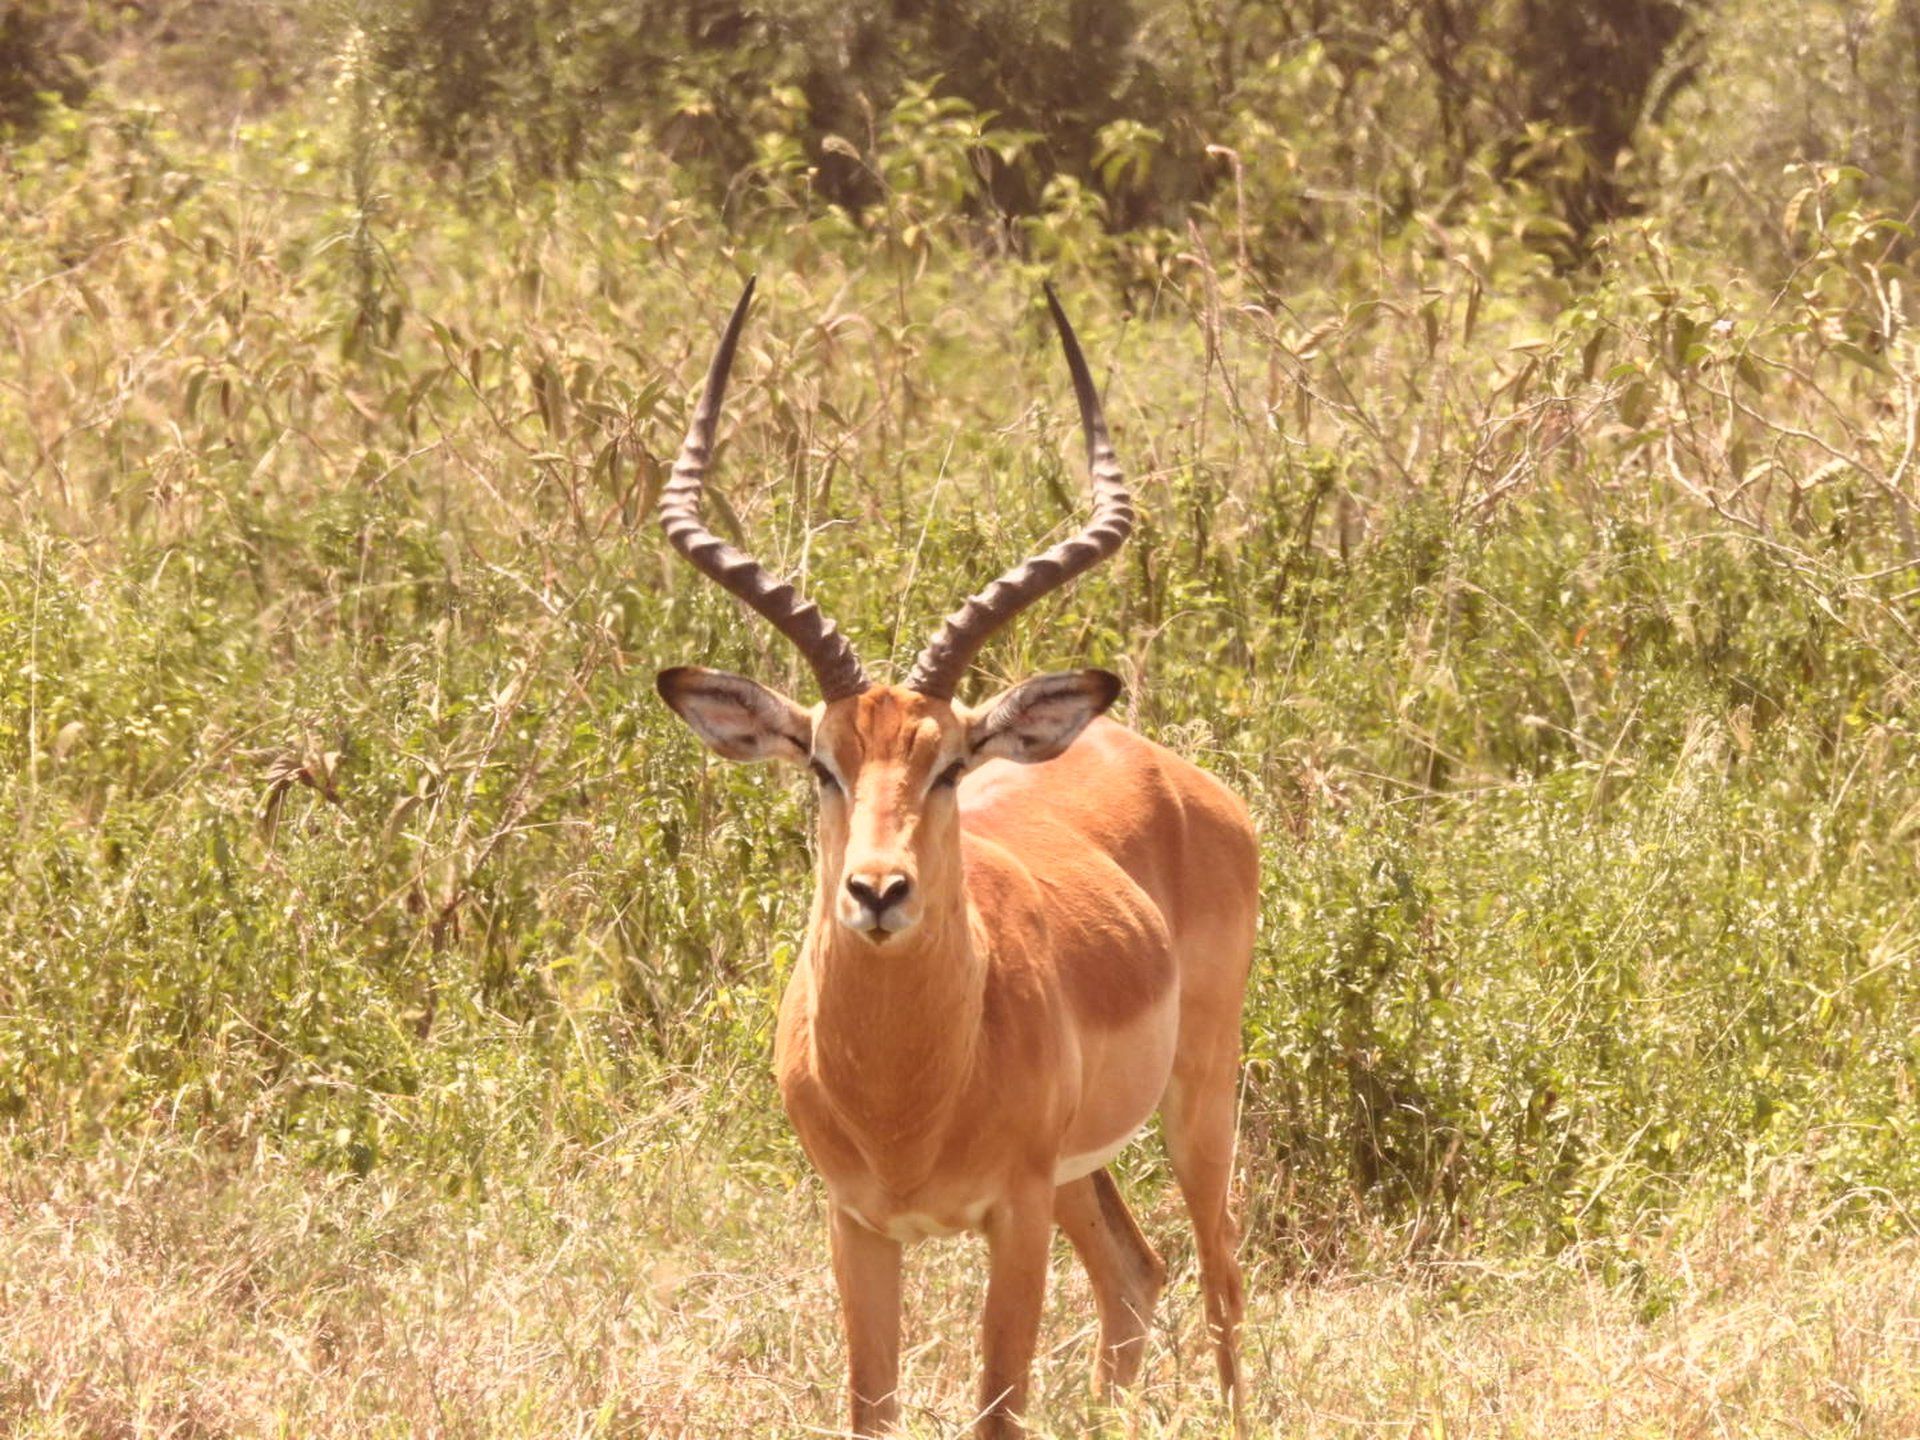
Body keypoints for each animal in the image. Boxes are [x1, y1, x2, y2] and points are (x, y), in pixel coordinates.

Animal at [655, 278, 1258, 1437]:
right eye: (823, 764)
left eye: (946, 765)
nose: (878, 891)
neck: (907, 1099)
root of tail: (1160, 763)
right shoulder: (858, 1226)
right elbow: (871, 1408)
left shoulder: (1010, 1217)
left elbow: (996, 1409)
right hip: (1079, 1171)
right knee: (1135, 1276)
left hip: (1198, 1097)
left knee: (1221, 1283)